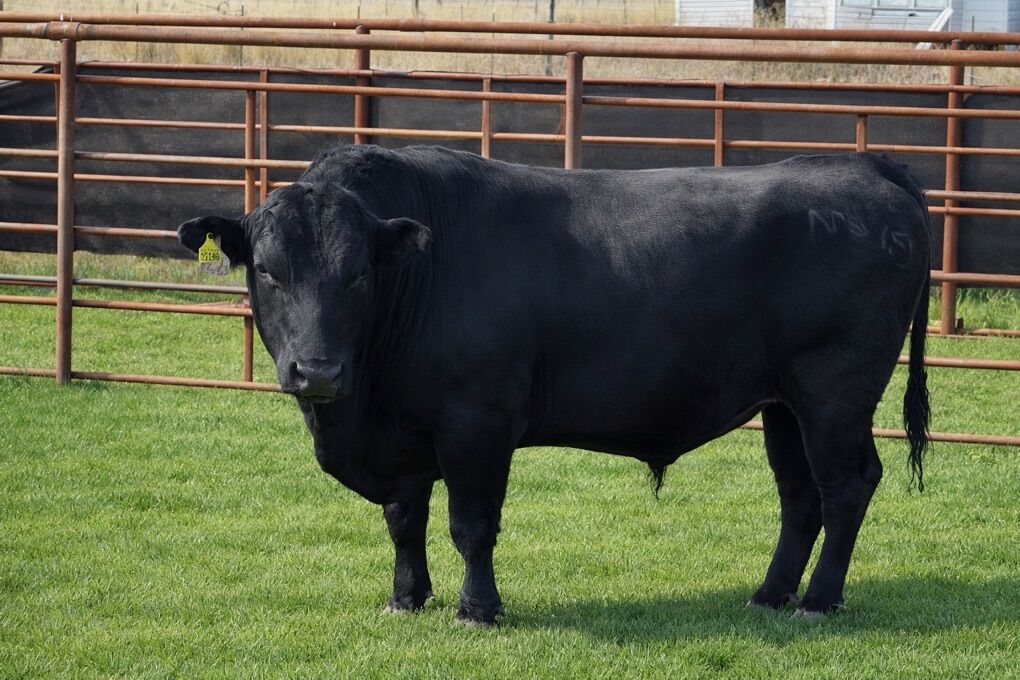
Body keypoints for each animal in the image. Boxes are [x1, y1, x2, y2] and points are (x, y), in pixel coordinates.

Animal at [178, 145, 931, 626]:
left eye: (359, 273)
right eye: (268, 270)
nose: (318, 371)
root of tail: (860, 164)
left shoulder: (476, 421)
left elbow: (472, 525)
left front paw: (477, 609)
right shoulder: (406, 433)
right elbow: (404, 519)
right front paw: (406, 598)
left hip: (834, 392)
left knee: (846, 486)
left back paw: (818, 601)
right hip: (783, 403)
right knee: (799, 496)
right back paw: (771, 594)